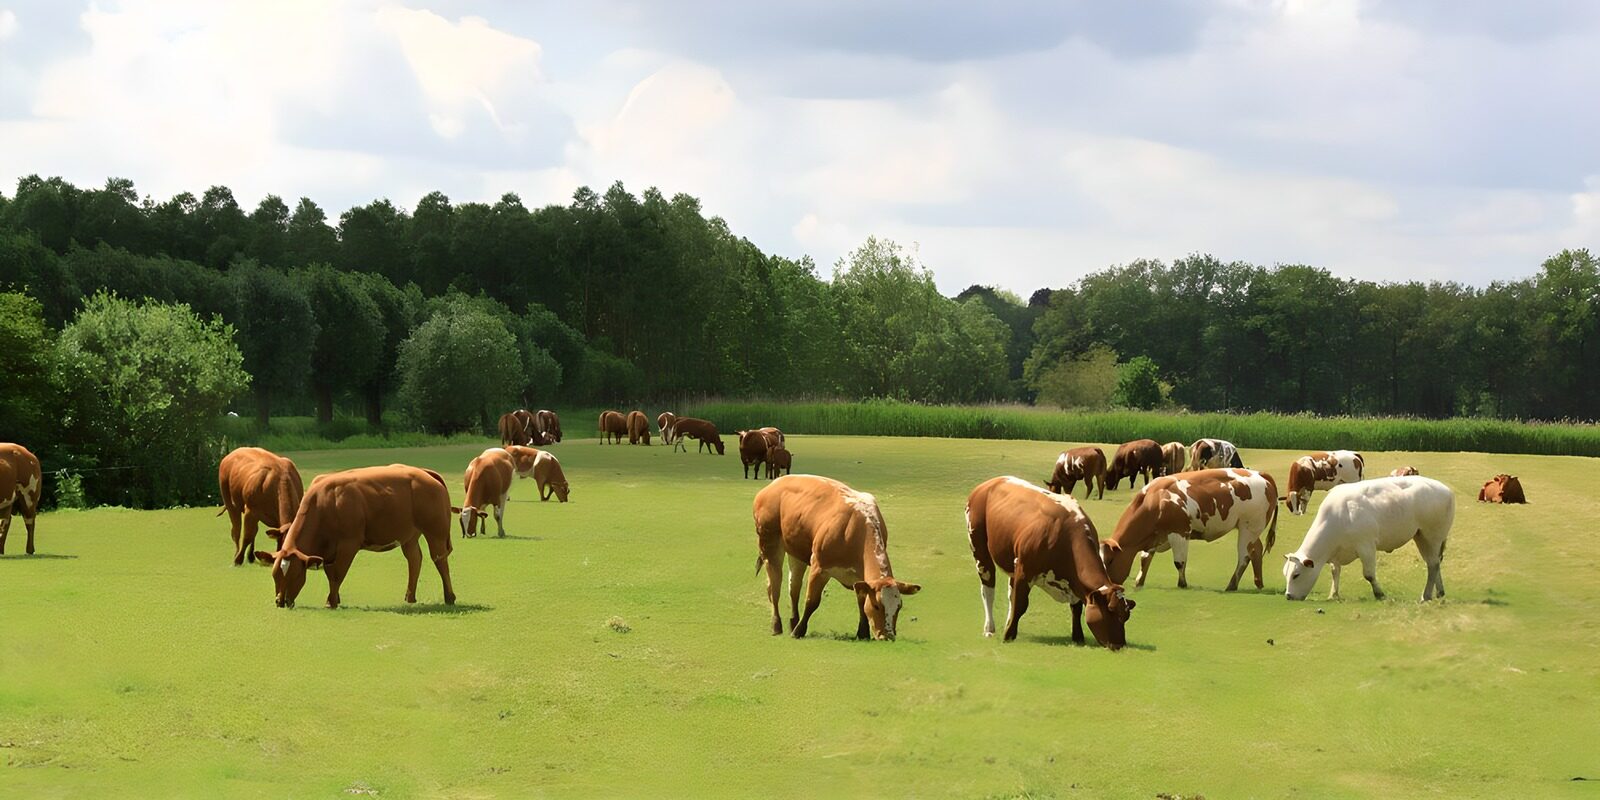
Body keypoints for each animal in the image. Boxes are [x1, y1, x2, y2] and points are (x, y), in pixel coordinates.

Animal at [252, 464, 455, 609]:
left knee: (440, 560)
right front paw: (335, 598)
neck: (325, 503)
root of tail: (425, 472)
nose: (280, 601)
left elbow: (337, 574)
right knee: (414, 559)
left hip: (436, 532)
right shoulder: (328, 552)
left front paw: (331, 602)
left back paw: (450, 597)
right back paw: (410, 597)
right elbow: (329, 573)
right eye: (275, 575)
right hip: (409, 536)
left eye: (295, 576)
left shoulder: (348, 545)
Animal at [752, 475, 920, 640]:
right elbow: (812, 601)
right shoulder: (819, 567)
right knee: (774, 588)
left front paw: (863, 632)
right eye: (876, 606)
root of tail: (773, 485)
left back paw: (793, 621)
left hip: (795, 551)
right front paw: (799, 631)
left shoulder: (859, 577)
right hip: (770, 546)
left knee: (793, 588)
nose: (888, 636)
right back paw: (777, 625)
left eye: (898, 607)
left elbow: (861, 600)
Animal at [965, 476, 1134, 648]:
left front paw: (1078, 637)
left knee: (1010, 593)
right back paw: (989, 629)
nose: (1120, 645)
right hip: (979, 547)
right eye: (1110, 609)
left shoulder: (1072, 581)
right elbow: (1020, 605)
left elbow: (1076, 608)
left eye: (1126, 615)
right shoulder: (1024, 571)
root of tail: (992, 482)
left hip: (1013, 562)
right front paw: (1008, 636)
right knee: (988, 589)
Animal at [1100, 468, 1280, 592]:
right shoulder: (1155, 536)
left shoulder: (1179, 532)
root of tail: (1261, 474)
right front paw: (1139, 581)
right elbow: (1145, 559)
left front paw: (1182, 584)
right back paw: (1258, 582)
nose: (1105, 585)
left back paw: (1232, 585)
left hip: (1247, 528)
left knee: (1244, 556)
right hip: (1252, 530)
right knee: (1256, 550)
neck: (1154, 500)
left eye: (1110, 561)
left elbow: (1179, 562)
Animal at [1282, 476, 1454, 602]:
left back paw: (1426, 596)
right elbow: (1335, 571)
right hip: (1421, 537)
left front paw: (1379, 594)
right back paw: (1439, 592)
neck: (1340, 516)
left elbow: (1369, 574)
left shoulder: (1366, 547)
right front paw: (1333, 594)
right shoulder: (1336, 554)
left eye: (1296, 575)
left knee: (1433, 564)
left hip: (1432, 536)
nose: (1289, 596)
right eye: (1286, 574)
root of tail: (1446, 490)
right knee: (1435, 562)